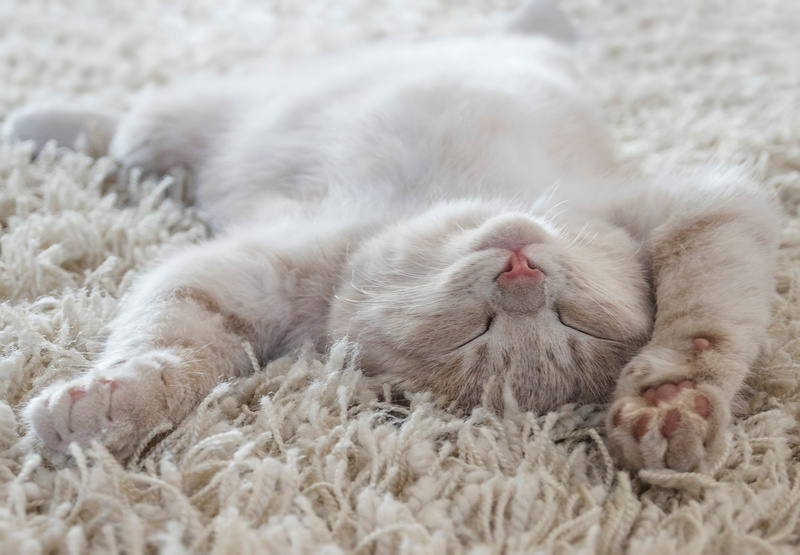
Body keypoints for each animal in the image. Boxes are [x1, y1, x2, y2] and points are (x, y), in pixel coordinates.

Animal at [6, 3, 780, 474]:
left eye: (572, 322)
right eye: (475, 328)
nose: (522, 273)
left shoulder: (706, 208)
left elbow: (707, 327)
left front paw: (671, 401)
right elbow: (170, 339)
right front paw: (119, 396)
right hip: (184, 118)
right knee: (123, 127)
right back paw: (38, 125)